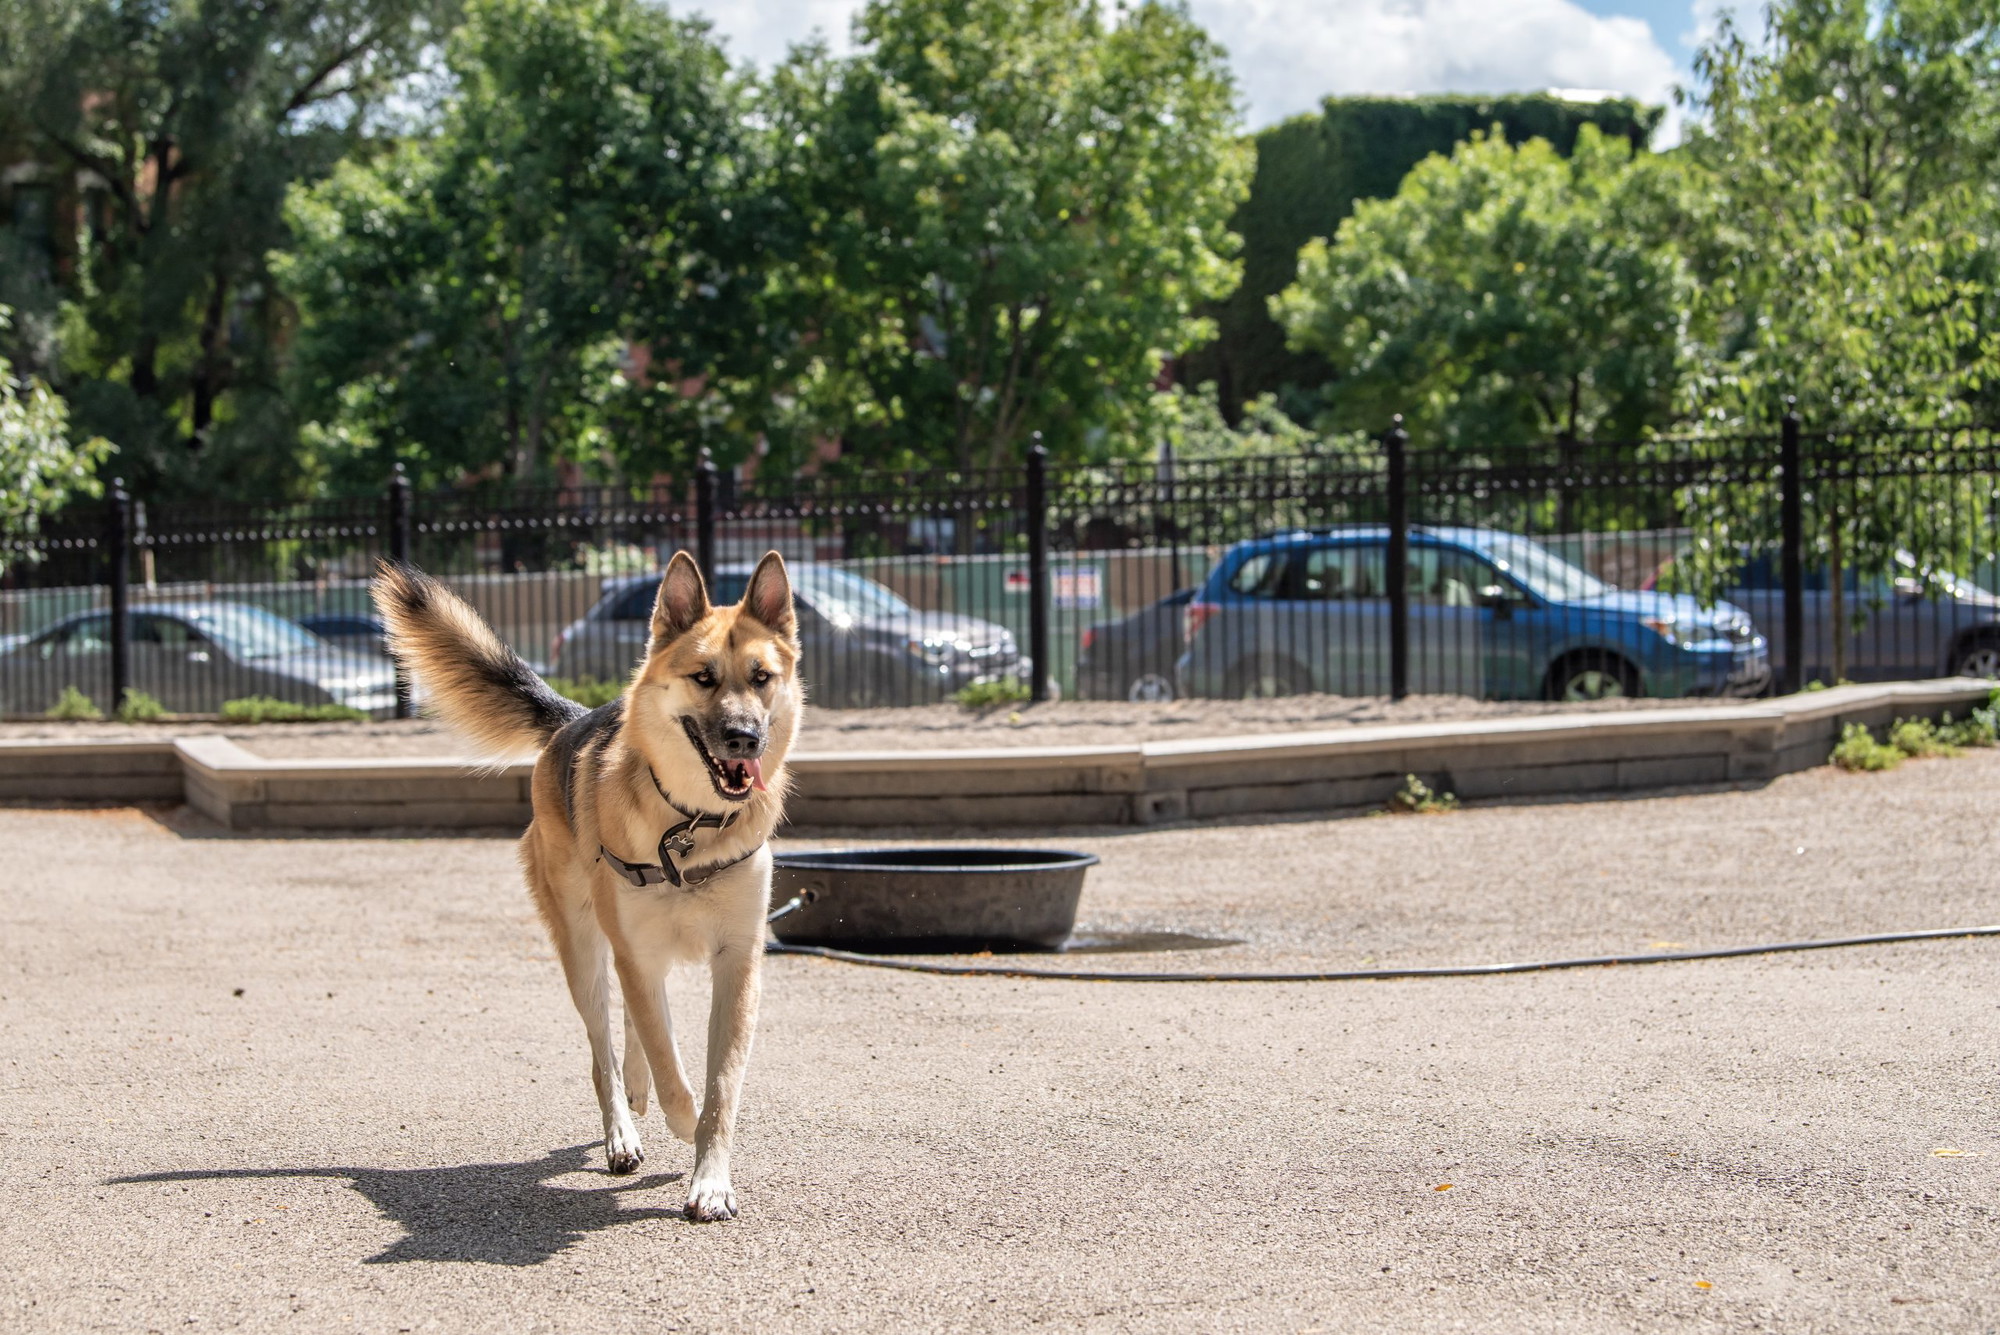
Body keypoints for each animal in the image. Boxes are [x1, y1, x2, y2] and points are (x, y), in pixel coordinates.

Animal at [373, 550, 800, 1221]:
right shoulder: (635, 954)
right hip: (584, 951)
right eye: (703, 677)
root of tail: (575, 720)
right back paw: (622, 1131)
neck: (690, 823)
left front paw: (711, 1177)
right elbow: (675, 1072)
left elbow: (721, 1084)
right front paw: (684, 1124)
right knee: (606, 1050)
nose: (745, 738)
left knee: (637, 1029)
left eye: (761, 677)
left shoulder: (738, 962)